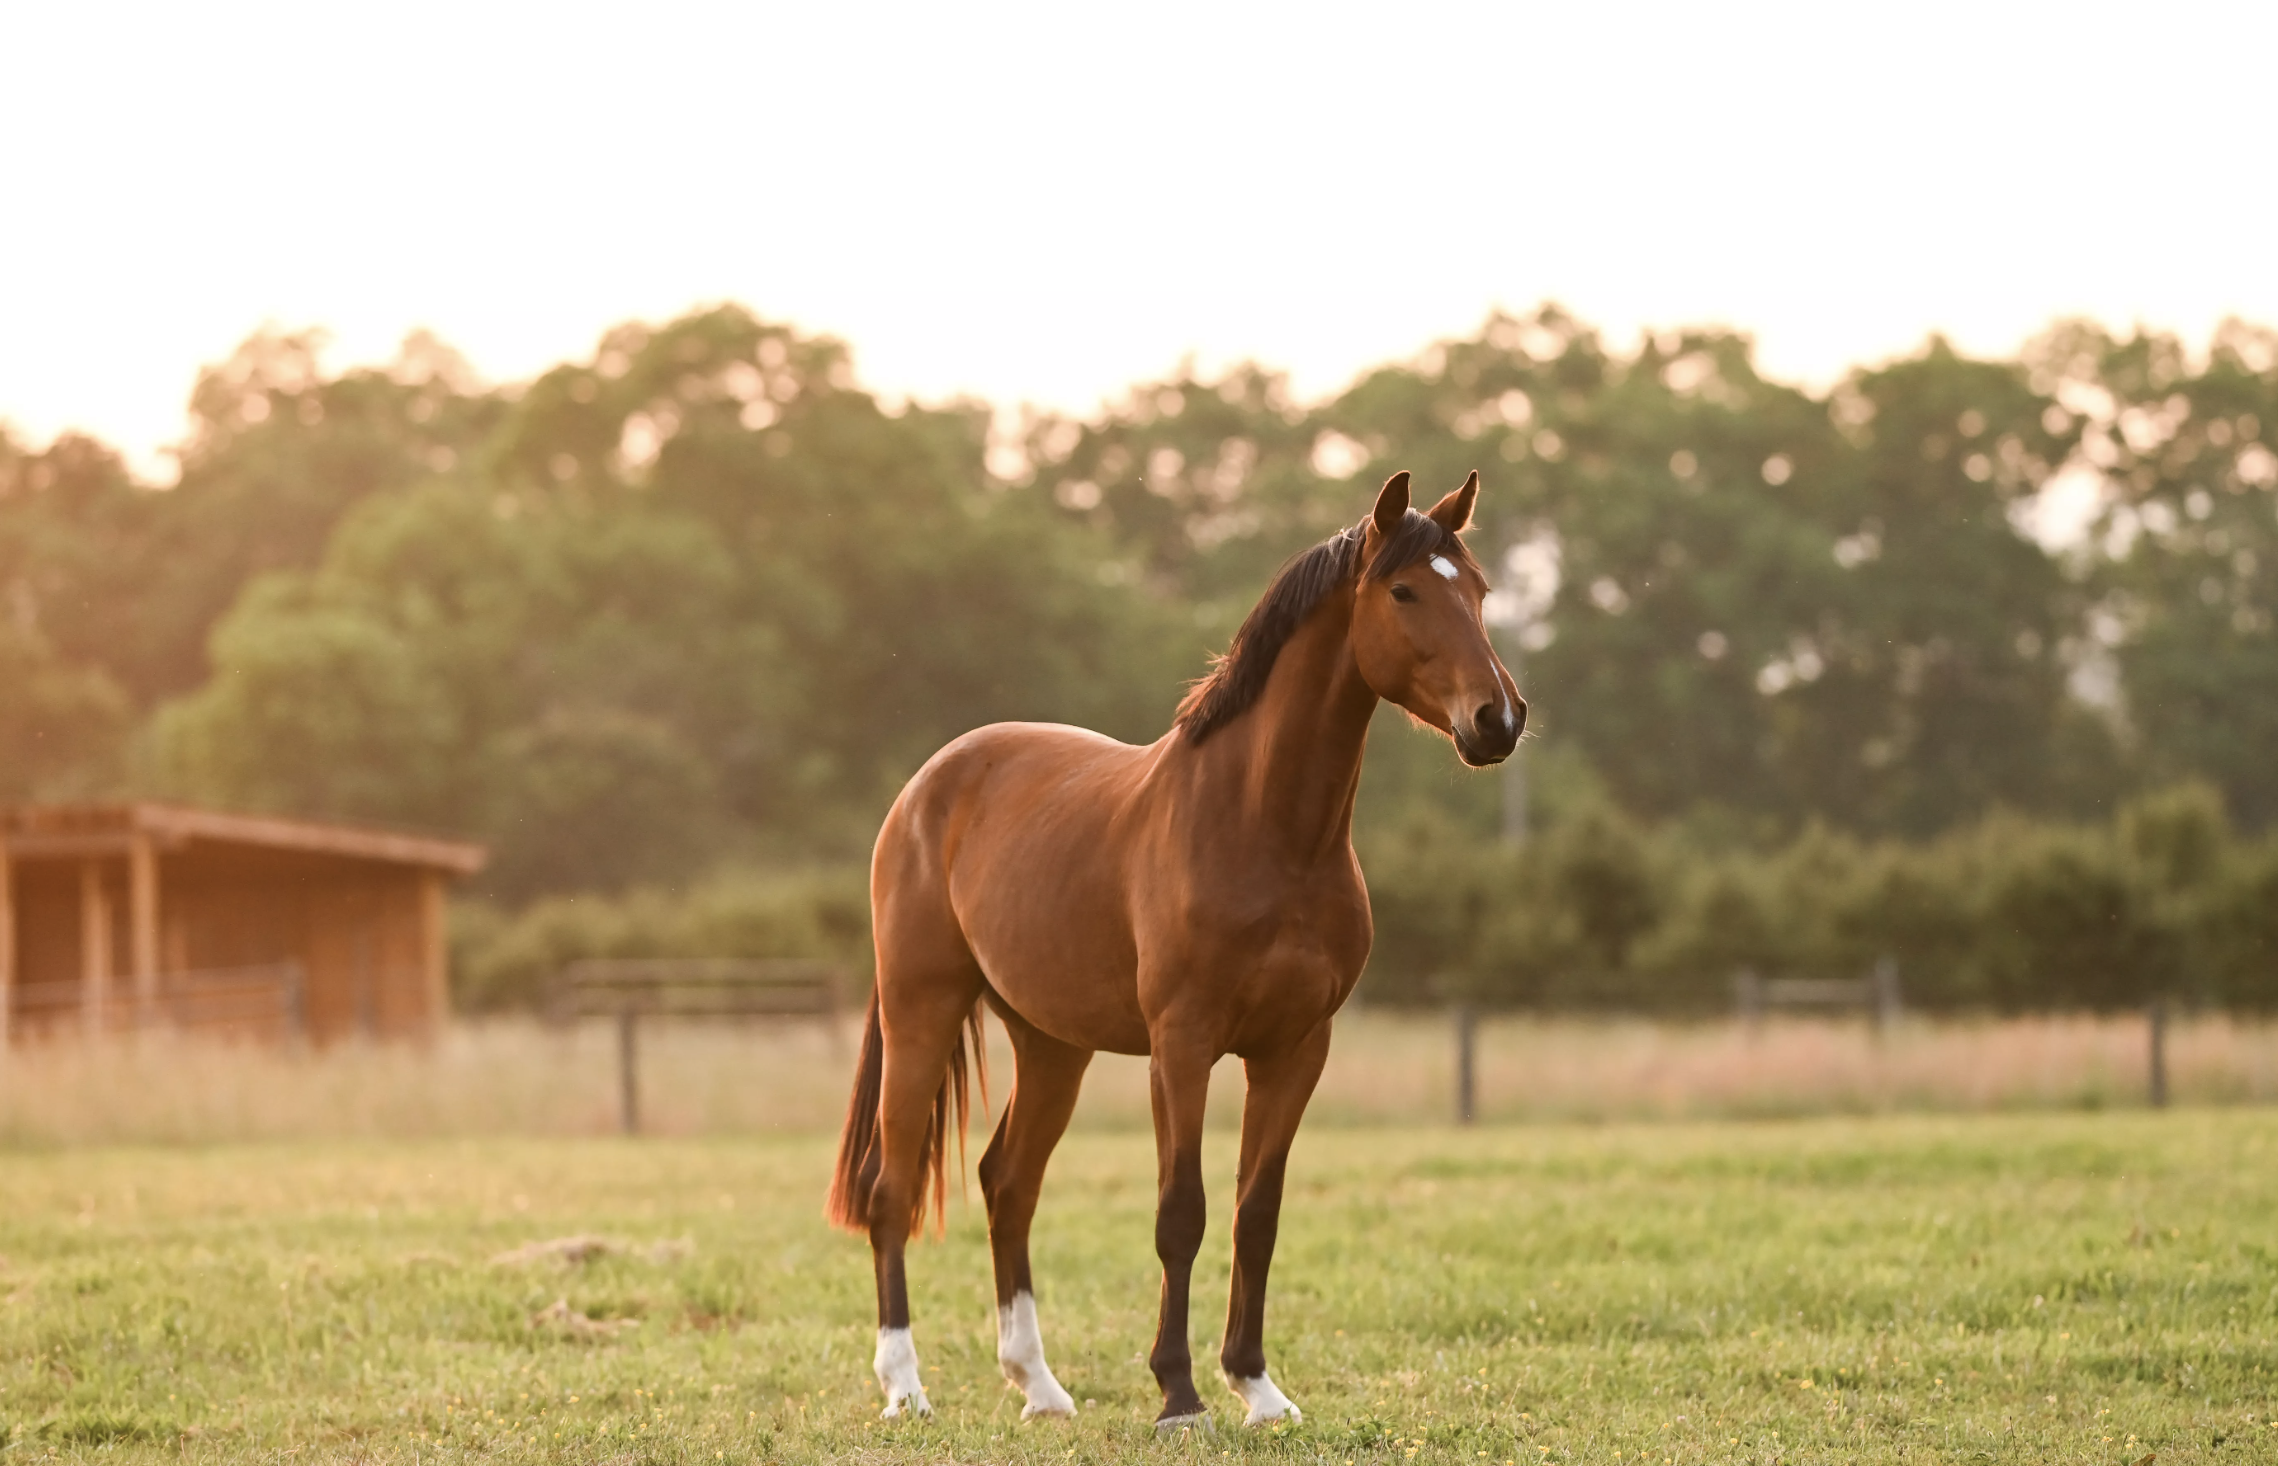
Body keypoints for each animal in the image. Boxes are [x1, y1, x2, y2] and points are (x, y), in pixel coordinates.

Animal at [825, 469, 1523, 1429]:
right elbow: (1180, 1212)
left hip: (1053, 1044)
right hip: (921, 1010)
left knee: (1009, 1183)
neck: (1265, 830)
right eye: (1406, 591)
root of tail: (927, 787)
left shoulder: (1294, 1050)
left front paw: (1258, 1388)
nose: (1499, 720)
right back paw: (905, 1387)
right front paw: (1180, 1394)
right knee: (892, 1186)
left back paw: (1039, 1386)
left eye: (1481, 591)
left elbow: (1255, 1214)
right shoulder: (1182, 1047)